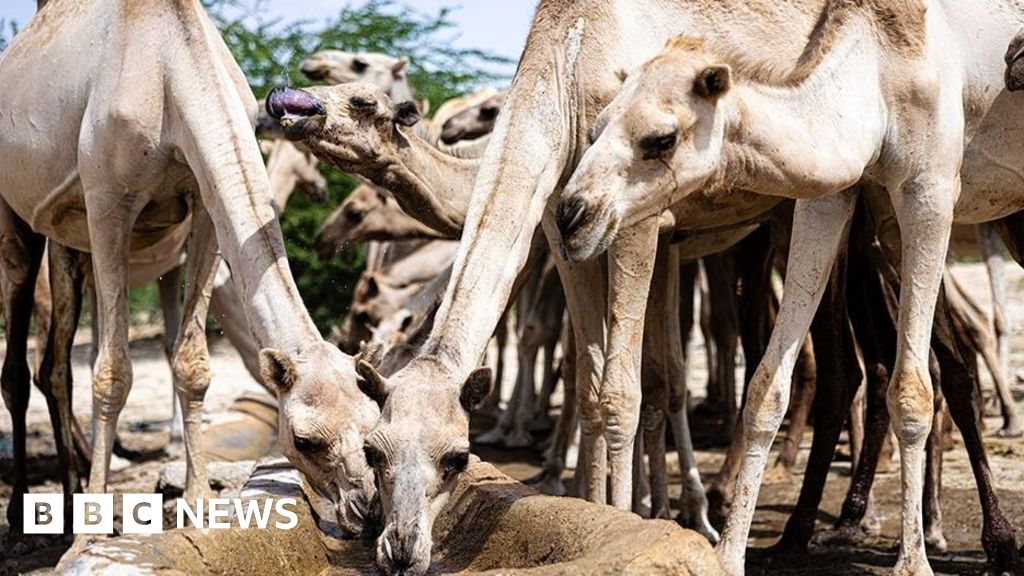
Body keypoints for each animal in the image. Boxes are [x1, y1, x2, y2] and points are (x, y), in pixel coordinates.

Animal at [0, 0, 382, 557]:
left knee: (56, 364)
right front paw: (90, 536)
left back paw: (66, 507)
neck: (170, 70)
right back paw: (28, 520)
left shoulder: (201, 204)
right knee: (28, 354)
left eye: (375, 423)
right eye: (304, 440)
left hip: (70, 242)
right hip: (19, 217)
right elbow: (112, 372)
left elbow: (193, 363)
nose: (367, 510)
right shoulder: (108, 200)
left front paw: (200, 507)